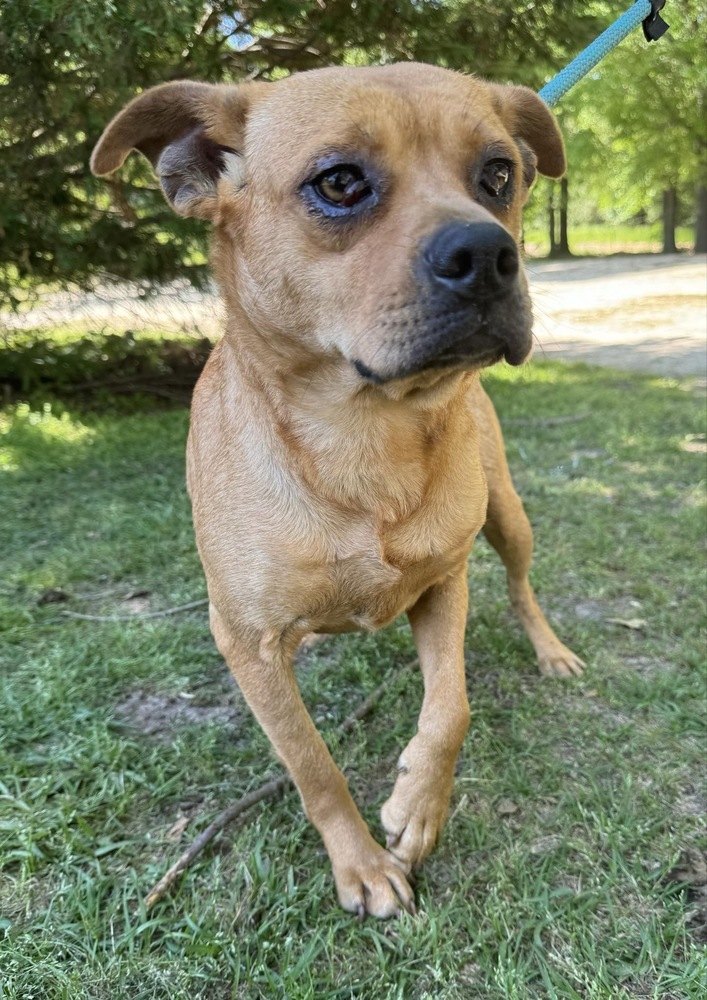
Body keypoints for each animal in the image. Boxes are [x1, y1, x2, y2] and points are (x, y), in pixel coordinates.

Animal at [91, 64, 584, 920]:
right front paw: (360, 865)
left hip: (507, 519)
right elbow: (311, 765)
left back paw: (549, 650)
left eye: (498, 174)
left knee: (523, 588)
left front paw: (417, 809)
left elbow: (449, 709)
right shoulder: (246, 644)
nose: (490, 252)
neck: (363, 437)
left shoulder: (445, 581)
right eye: (339, 182)